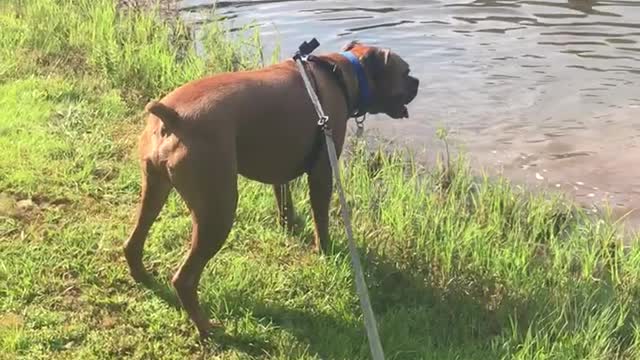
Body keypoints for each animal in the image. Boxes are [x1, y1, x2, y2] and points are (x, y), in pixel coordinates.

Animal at [123, 40, 420, 336]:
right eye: (405, 72)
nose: (417, 82)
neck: (340, 72)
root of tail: (172, 117)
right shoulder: (322, 172)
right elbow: (321, 218)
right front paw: (324, 251)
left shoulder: (281, 170)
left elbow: (284, 201)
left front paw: (288, 226)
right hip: (217, 213)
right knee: (184, 278)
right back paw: (207, 327)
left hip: (155, 190)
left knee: (133, 243)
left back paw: (144, 278)